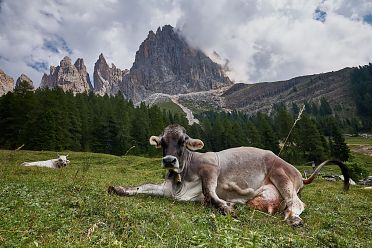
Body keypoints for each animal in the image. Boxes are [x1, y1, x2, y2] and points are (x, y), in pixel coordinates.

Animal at [107, 124, 348, 227]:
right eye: (163, 142)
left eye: (184, 141)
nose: (169, 161)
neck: (182, 178)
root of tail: (299, 173)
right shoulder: (167, 189)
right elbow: (143, 186)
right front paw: (117, 188)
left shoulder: (211, 168)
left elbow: (209, 192)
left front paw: (226, 208)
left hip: (280, 174)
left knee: (296, 202)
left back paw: (294, 218)